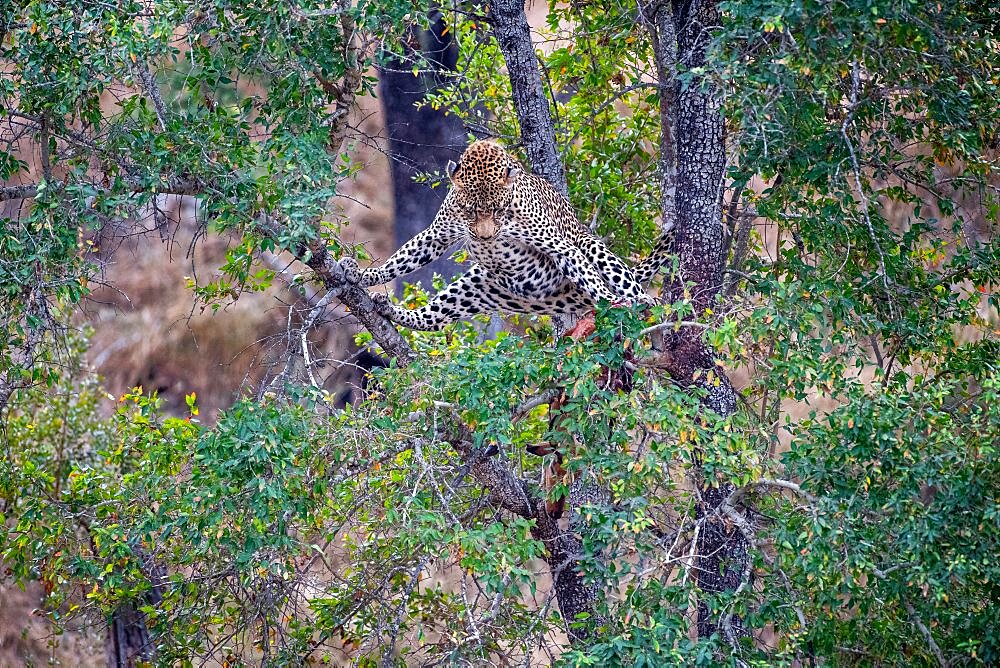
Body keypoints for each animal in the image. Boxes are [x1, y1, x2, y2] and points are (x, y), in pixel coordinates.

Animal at [338, 139, 672, 332]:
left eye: (499, 210)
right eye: (469, 211)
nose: (485, 238)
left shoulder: (558, 244)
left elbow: (585, 273)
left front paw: (610, 299)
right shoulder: (438, 234)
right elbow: (403, 259)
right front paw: (366, 275)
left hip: (591, 247)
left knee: (622, 281)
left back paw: (639, 303)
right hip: (475, 288)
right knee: (434, 319)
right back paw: (391, 310)